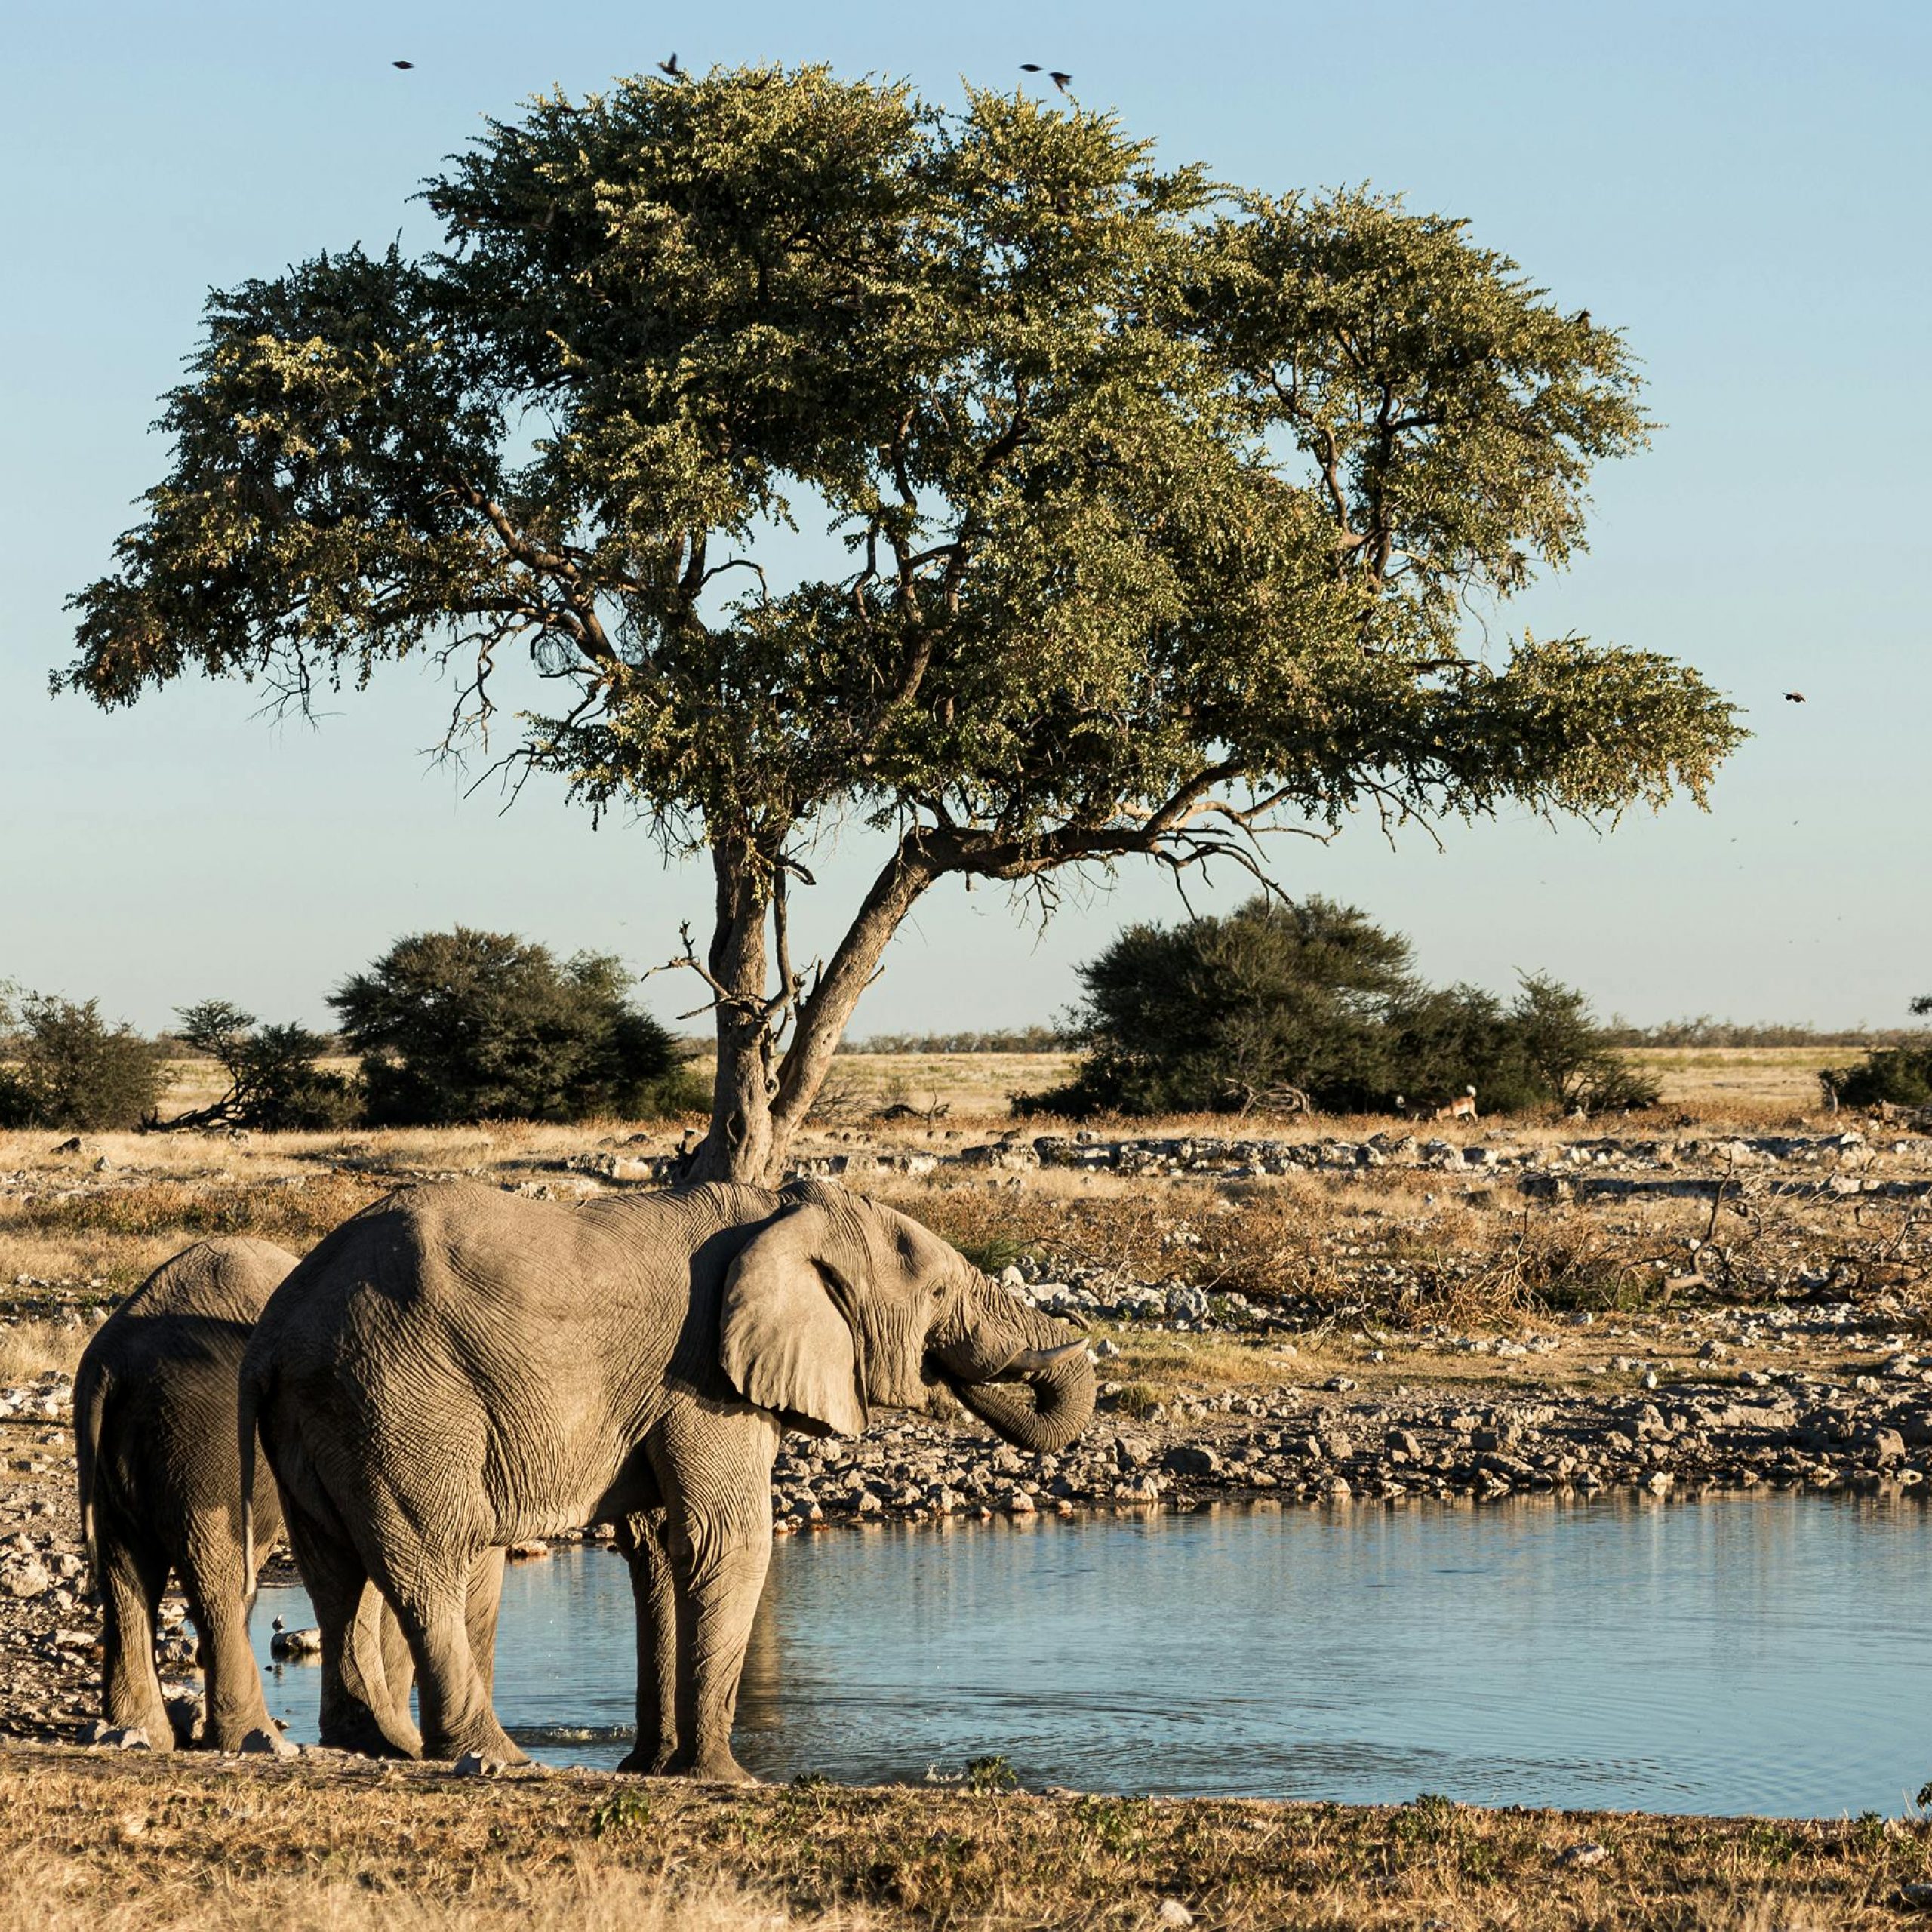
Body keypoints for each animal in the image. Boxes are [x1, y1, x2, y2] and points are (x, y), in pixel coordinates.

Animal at [73, 1236, 301, 1751]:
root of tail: (109, 1366)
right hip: (203, 1446)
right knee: (214, 1580)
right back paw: (259, 1740)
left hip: (116, 1458)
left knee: (124, 1572)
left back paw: (139, 1731)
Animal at [240, 1177, 1095, 1779]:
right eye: (940, 1294)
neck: (781, 1214)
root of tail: (275, 1330)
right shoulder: (706, 1377)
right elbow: (726, 1539)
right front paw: (726, 1778)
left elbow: (656, 1549)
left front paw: (651, 1767)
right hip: (397, 1397)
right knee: (433, 1561)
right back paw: (494, 1755)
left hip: (325, 1412)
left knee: (334, 1571)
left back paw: (376, 1745)